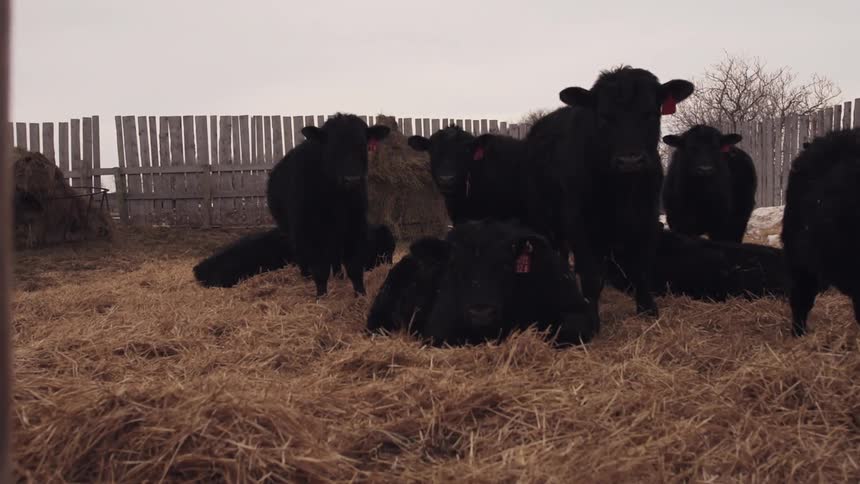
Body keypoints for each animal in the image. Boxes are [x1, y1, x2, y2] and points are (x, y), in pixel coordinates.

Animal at [523, 66, 694, 319]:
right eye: (604, 116)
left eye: (650, 113)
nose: (630, 160)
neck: (623, 191)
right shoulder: (579, 221)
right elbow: (592, 276)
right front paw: (590, 317)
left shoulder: (647, 215)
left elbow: (640, 268)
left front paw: (648, 309)